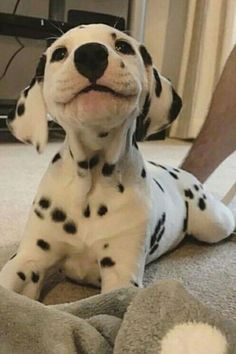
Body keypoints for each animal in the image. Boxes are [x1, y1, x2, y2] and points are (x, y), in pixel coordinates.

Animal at [0, 23, 235, 298]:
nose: (90, 54)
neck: (92, 182)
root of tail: (186, 175)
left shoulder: (121, 275)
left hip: (213, 223)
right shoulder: (28, 259)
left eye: (123, 46)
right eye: (59, 53)